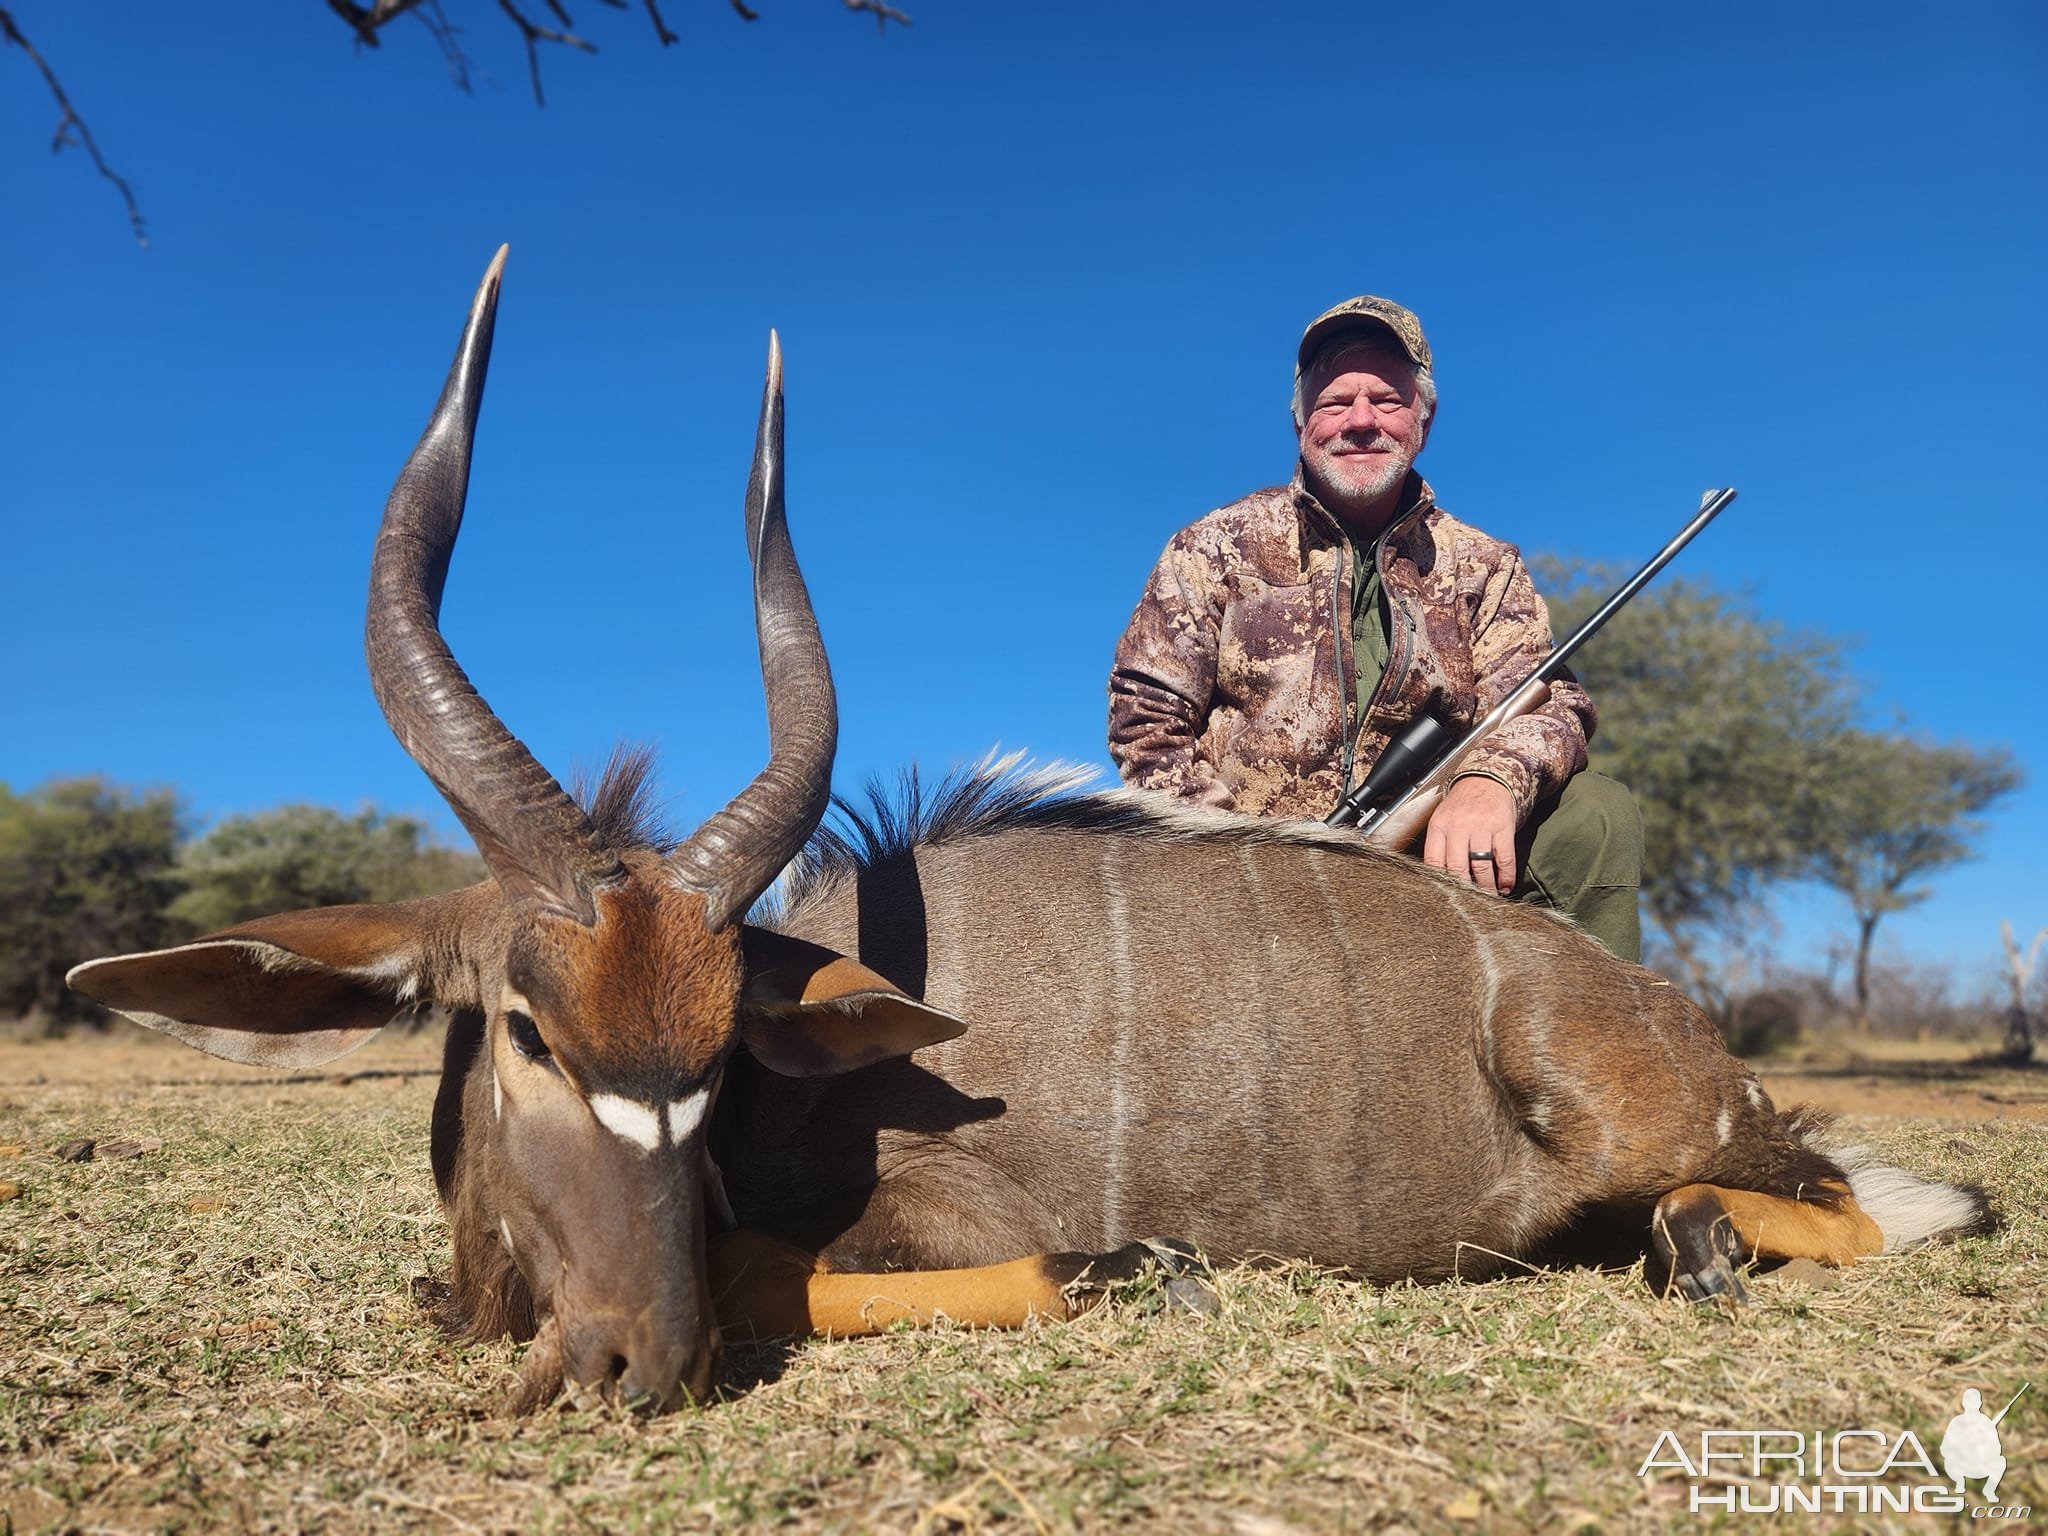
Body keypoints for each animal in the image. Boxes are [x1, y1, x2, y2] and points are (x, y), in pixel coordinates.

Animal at [68, 252, 1998, 1417]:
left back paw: (1707, 1242)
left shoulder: (924, 1212)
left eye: (719, 1054)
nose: (630, 1362)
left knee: (1877, 1200)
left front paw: (1142, 1271)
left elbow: (849, 1268)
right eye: (529, 1031)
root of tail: (1638, 1001)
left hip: (1653, 1124)